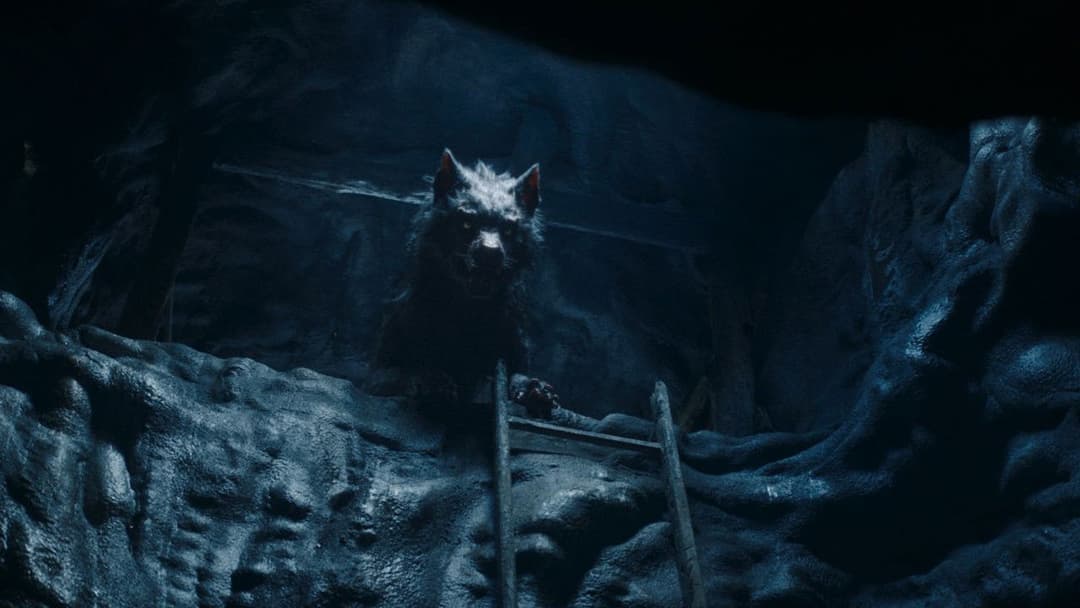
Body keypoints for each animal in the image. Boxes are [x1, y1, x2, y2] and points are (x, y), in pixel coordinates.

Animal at [368, 149, 558, 418]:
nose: (490, 253)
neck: (466, 313)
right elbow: (409, 373)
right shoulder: (377, 374)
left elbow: (517, 375)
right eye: (467, 223)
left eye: (509, 230)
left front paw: (535, 389)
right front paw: (434, 382)